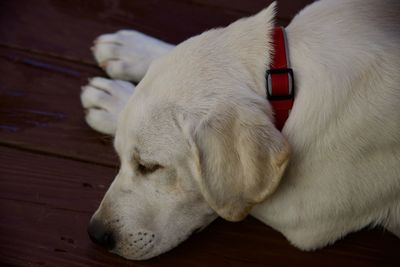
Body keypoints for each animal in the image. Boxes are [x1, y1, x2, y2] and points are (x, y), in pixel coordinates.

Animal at [81, 0, 400, 260]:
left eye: (150, 166)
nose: (96, 234)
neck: (284, 79)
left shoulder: (304, 213)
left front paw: (114, 100)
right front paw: (133, 52)